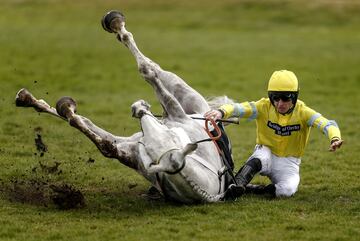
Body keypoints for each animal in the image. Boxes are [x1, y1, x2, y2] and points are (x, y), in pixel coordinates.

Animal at [16, 10, 236, 203]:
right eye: (152, 152)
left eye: (171, 139)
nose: (138, 109)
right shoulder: (129, 149)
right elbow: (102, 143)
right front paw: (64, 107)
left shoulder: (175, 114)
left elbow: (146, 71)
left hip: (181, 96)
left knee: (154, 68)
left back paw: (116, 25)